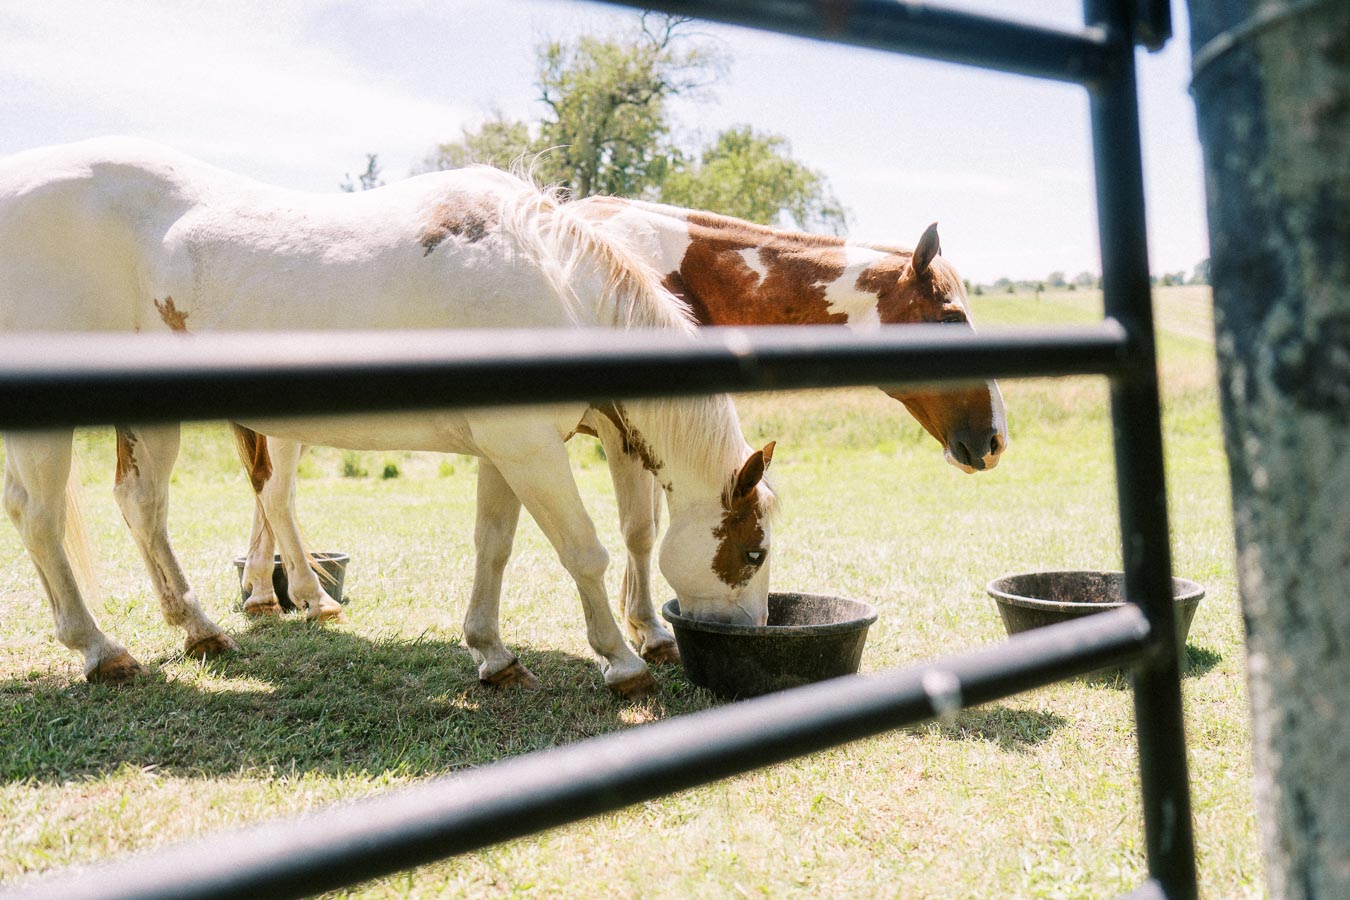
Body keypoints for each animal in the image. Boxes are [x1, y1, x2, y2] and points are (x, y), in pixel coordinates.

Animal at [0, 137, 777, 696]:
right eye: (754, 552)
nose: (750, 632)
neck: (552, 282)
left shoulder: (507, 451)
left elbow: (493, 548)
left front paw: (493, 655)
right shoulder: (530, 449)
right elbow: (584, 550)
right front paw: (623, 660)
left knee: (141, 507)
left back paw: (199, 631)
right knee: (42, 519)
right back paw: (100, 650)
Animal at [237, 196, 1008, 665]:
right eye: (949, 318)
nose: (995, 439)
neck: (666, 266)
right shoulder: (619, 434)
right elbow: (639, 532)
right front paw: (650, 631)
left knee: (268, 500)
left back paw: (266, 595)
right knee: (275, 497)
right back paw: (305, 597)